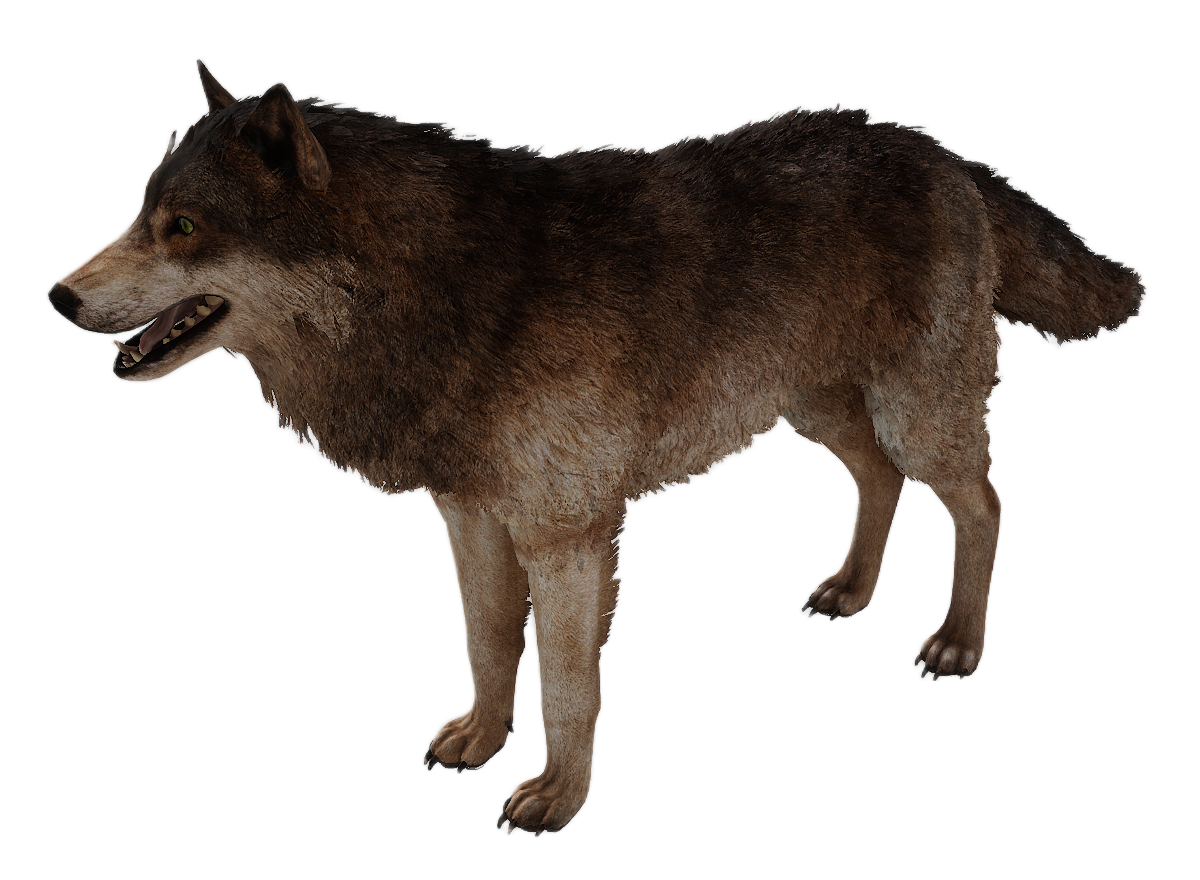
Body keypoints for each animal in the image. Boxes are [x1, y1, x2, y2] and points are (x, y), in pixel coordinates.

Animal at [46, 58, 1147, 836]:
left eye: (184, 227)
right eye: (141, 213)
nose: (57, 296)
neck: (449, 289)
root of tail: (944, 155)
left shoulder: (570, 537)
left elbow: (572, 685)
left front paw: (558, 795)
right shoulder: (471, 519)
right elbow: (491, 644)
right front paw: (482, 739)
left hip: (911, 412)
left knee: (983, 502)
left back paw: (957, 641)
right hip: (817, 410)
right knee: (878, 479)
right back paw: (847, 589)